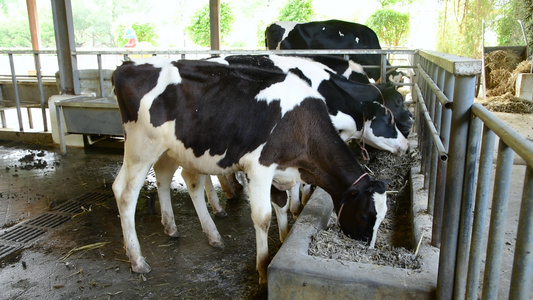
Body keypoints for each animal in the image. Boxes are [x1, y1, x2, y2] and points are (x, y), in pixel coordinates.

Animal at [112, 56, 386, 284]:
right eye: (365, 216)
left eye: (381, 218)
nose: (368, 249)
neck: (302, 125)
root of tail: (129, 66)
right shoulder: (260, 167)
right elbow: (263, 217)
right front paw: (263, 269)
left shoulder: (281, 171)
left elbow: (281, 203)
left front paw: (284, 236)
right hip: (142, 147)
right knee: (125, 193)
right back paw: (137, 259)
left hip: (174, 149)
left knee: (173, 178)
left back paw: (186, 230)